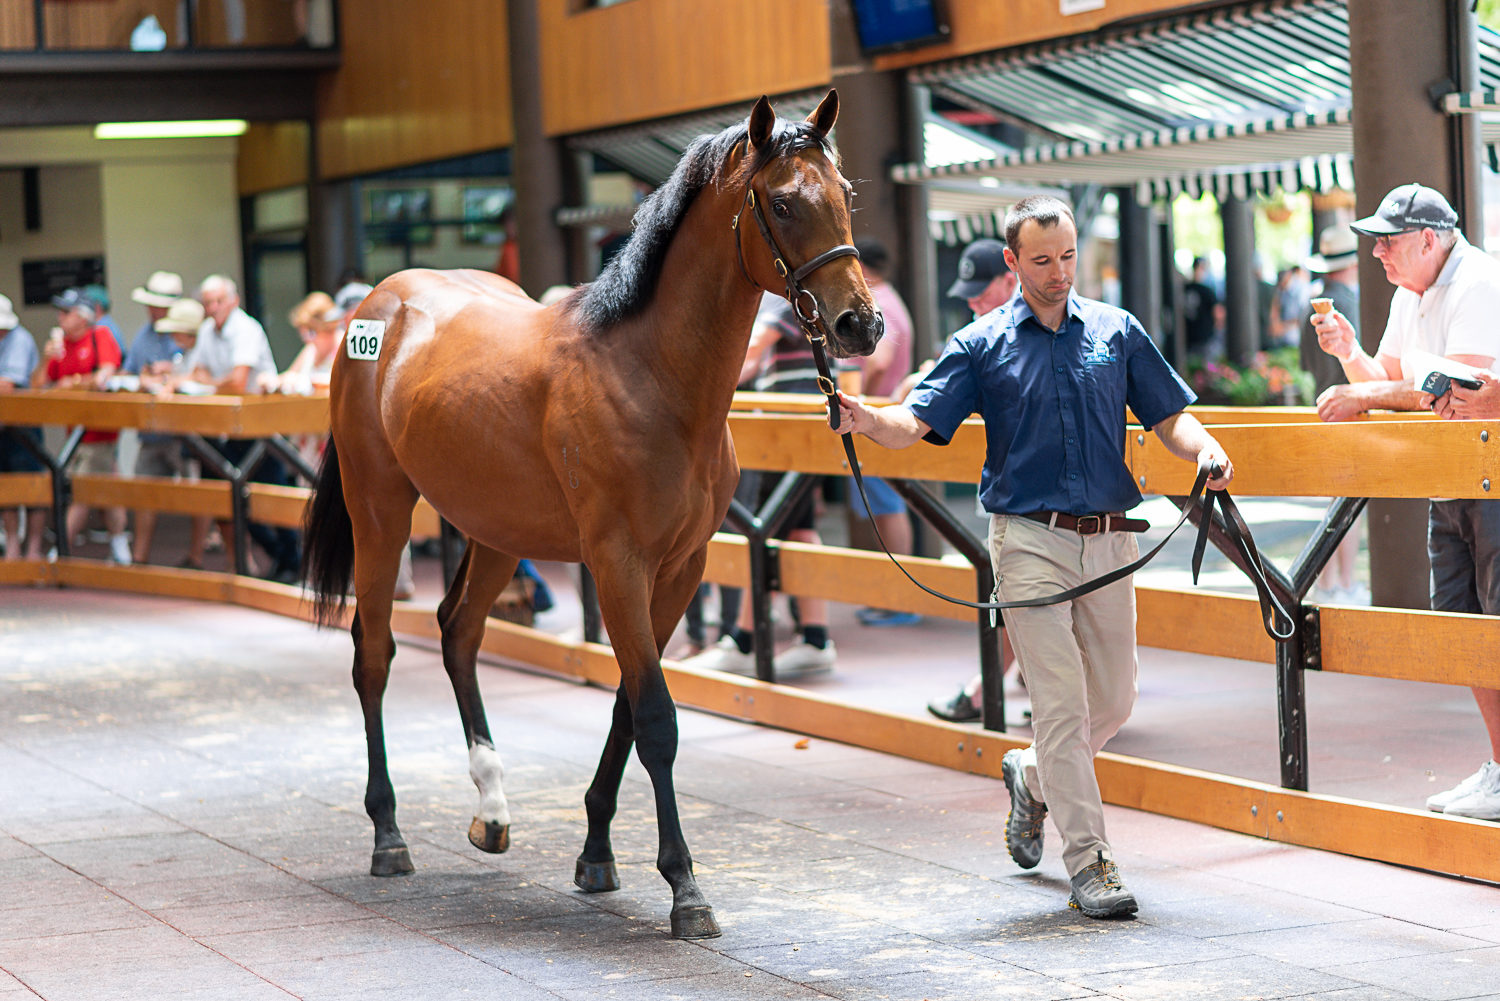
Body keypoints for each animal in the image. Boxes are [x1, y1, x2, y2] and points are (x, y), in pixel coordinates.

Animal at [301, 91, 876, 942]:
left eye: (844, 196)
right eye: (781, 203)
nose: (859, 325)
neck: (650, 375)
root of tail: (376, 309)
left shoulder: (679, 568)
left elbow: (627, 707)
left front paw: (597, 852)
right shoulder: (617, 564)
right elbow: (658, 718)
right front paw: (685, 887)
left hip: (495, 529)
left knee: (457, 631)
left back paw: (492, 809)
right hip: (382, 511)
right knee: (373, 653)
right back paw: (388, 833)